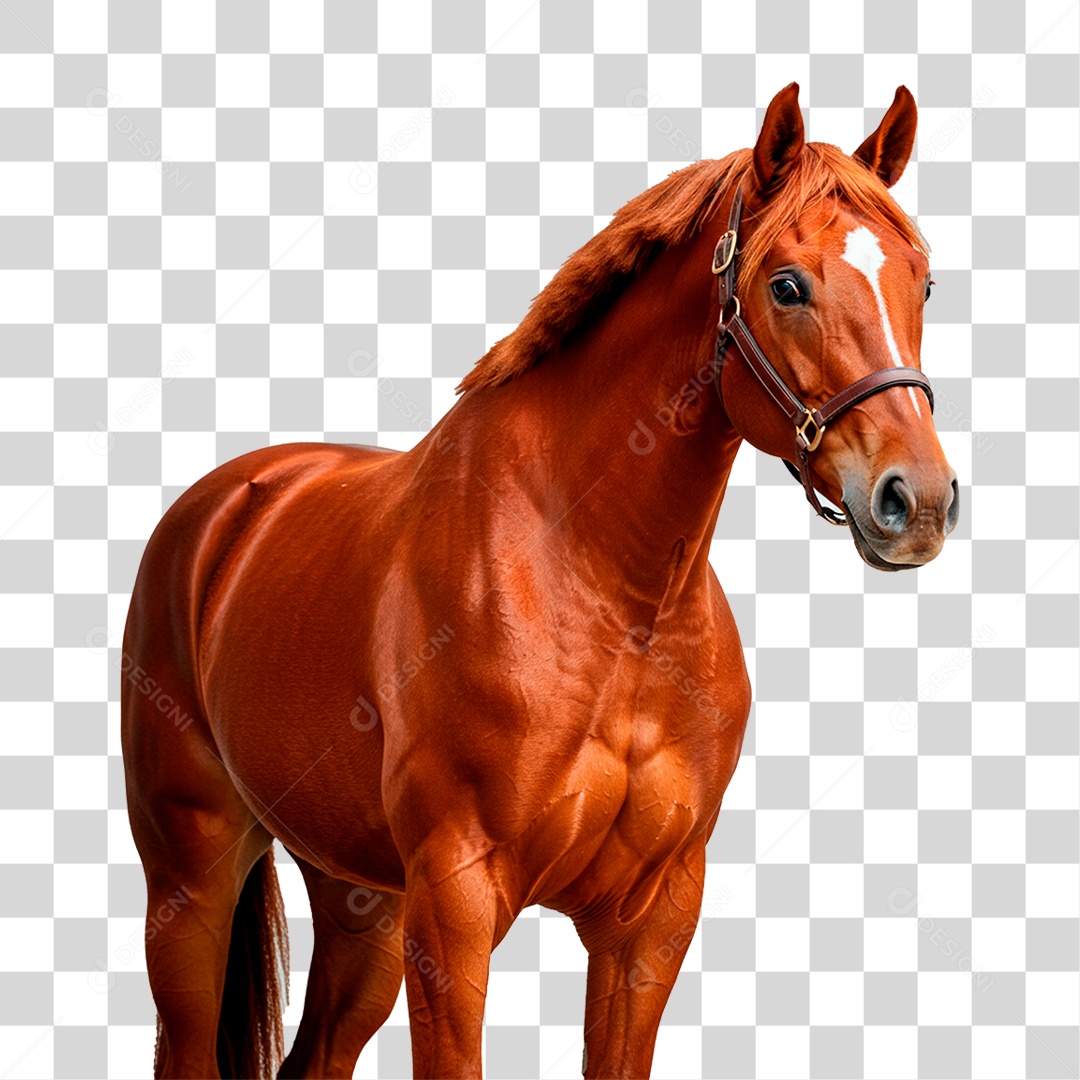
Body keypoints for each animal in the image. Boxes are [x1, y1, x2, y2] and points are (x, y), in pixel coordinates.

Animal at [121, 82, 958, 1079]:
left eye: (923, 280)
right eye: (787, 284)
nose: (918, 500)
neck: (615, 597)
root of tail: (223, 508)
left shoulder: (650, 920)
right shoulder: (455, 908)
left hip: (361, 898)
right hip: (192, 876)